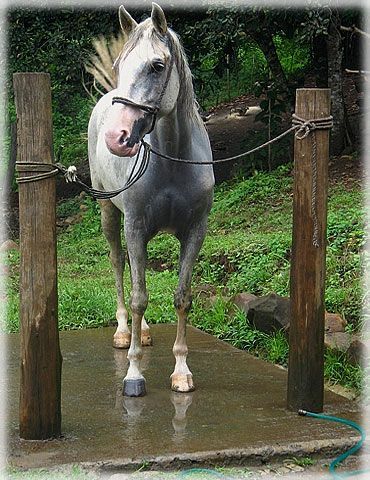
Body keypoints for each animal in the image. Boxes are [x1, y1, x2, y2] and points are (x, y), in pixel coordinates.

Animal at [88, 1, 214, 396]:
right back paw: (123, 332)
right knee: (118, 265)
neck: (173, 160)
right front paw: (133, 374)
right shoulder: (134, 226)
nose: (117, 136)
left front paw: (182, 371)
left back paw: (141, 334)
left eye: (157, 65)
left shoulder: (194, 232)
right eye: (120, 66)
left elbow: (181, 297)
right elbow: (138, 297)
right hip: (111, 217)